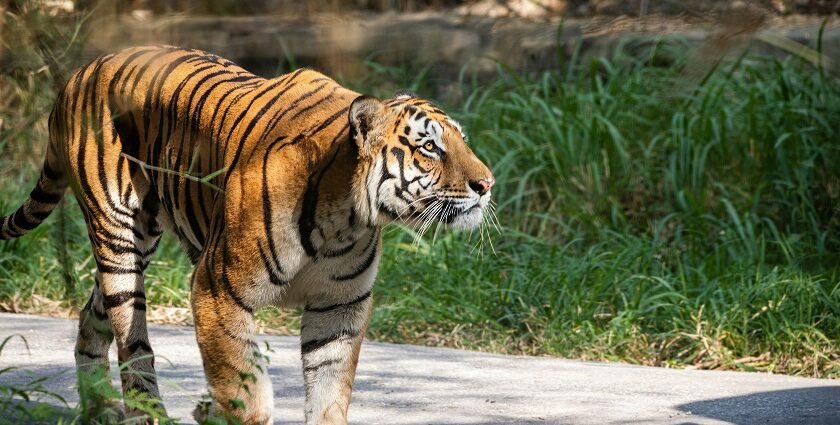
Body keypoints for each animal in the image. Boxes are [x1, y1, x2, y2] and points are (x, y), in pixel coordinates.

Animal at [0, 44, 496, 422]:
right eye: (429, 147)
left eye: (462, 141)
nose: (487, 184)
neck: (346, 219)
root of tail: (80, 71)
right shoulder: (216, 290)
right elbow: (245, 392)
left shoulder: (339, 308)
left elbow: (329, 394)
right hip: (119, 238)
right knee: (132, 343)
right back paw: (143, 414)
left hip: (133, 247)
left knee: (91, 316)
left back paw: (100, 409)